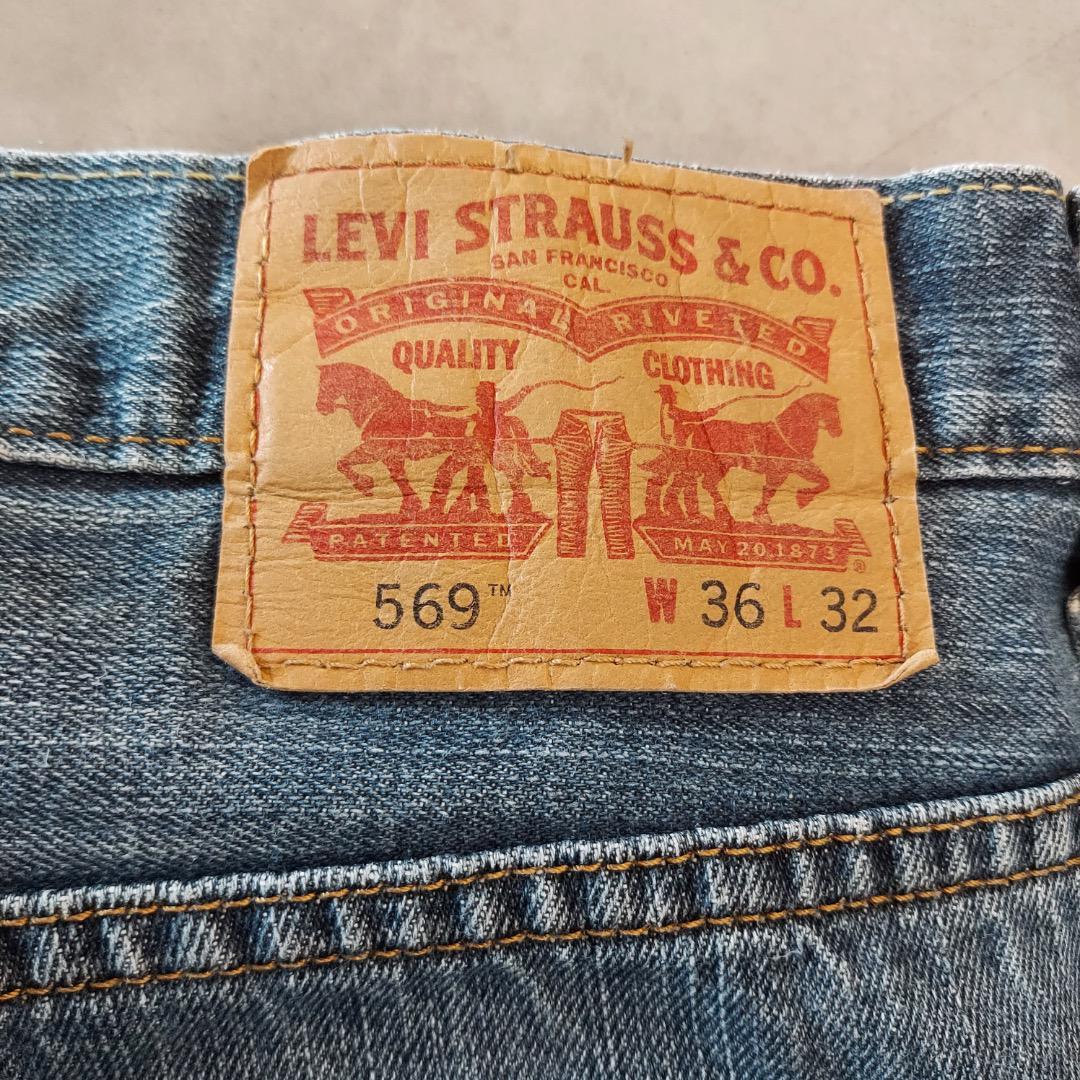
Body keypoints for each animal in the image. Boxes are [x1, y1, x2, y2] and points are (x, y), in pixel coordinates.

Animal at [642, 388, 843, 525]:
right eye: (832, 410)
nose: (838, 432)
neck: (788, 433)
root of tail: (698, 427)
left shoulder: (795, 468)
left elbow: (822, 481)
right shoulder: (780, 471)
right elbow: (771, 491)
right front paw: (792, 504)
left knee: (693, 482)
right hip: (706, 464)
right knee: (690, 481)